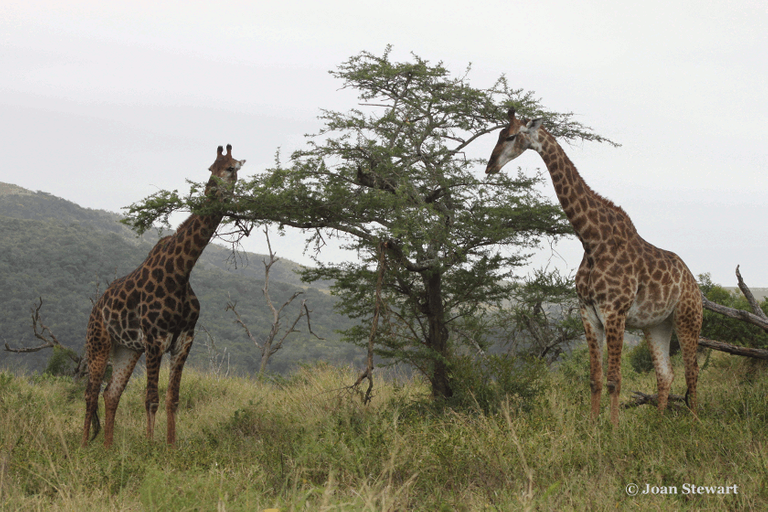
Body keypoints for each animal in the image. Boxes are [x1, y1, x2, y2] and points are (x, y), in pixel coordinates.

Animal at [81, 144, 244, 448]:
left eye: (230, 168)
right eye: (210, 168)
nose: (211, 190)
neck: (181, 273)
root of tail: (96, 309)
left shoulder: (183, 340)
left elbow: (173, 399)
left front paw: (170, 447)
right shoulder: (155, 339)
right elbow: (151, 399)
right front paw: (149, 447)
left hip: (126, 349)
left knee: (111, 393)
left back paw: (108, 449)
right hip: (98, 343)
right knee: (90, 393)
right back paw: (84, 446)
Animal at [486, 110, 704, 426]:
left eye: (512, 136)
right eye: (499, 134)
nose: (490, 166)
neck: (591, 241)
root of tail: (693, 282)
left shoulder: (614, 312)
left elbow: (614, 379)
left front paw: (612, 429)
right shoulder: (588, 312)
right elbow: (595, 378)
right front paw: (591, 427)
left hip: (688, 317)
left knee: (692, 370)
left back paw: (694, 423)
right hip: (657, 325)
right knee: (666, 373)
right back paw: (659, 425)